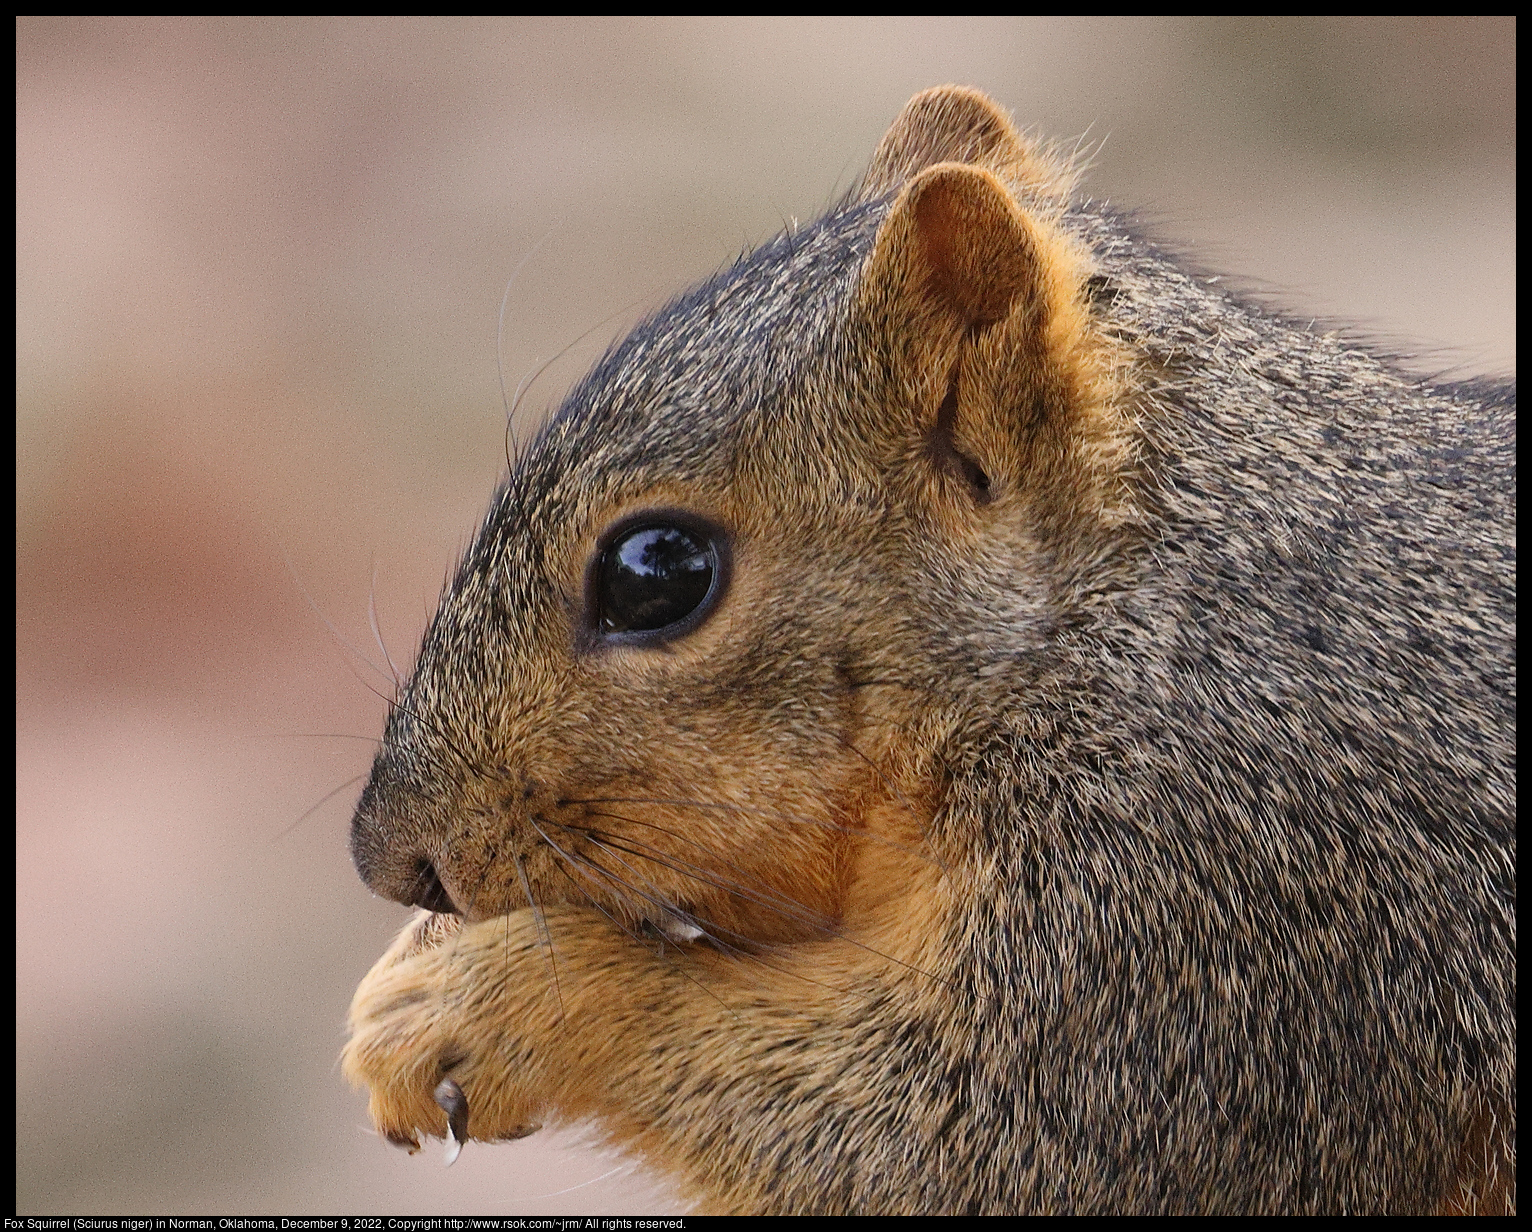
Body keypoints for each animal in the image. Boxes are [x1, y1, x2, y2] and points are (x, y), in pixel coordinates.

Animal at [341, 84, 1513, 1213]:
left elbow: (970, 1142)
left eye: (655, 573)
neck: (1109, 623)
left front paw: (482, 999)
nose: (390, 858)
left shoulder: (1215, 893)